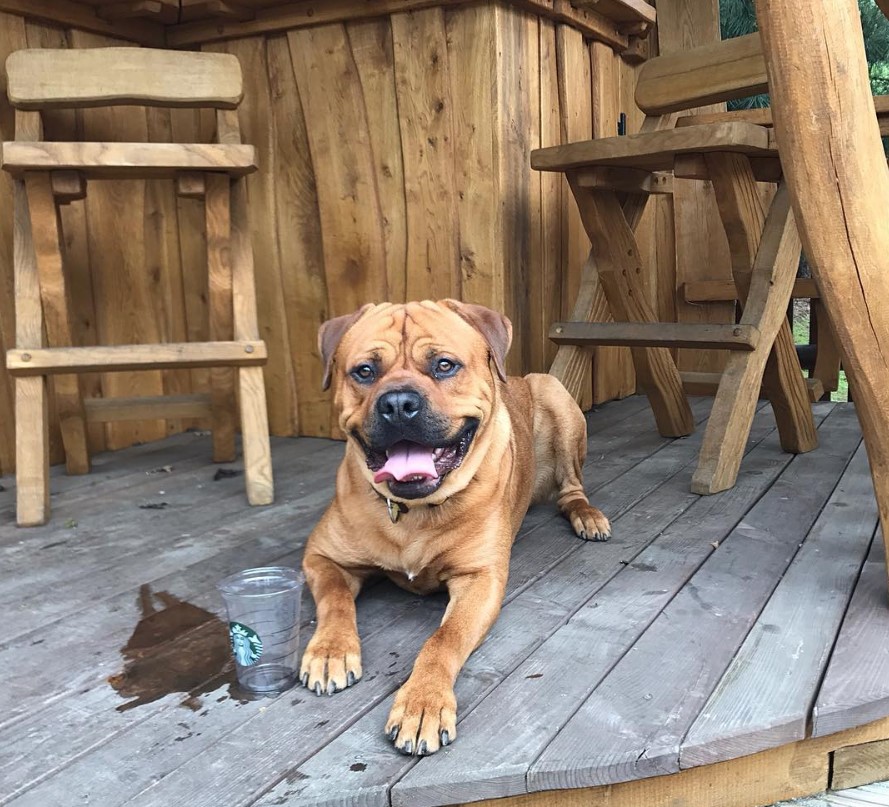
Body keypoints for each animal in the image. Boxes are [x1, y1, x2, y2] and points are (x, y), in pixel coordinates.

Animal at [302, 300, 608, 756]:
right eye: (365, 371)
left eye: (444, 365)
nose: (398, 403)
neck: (414, 511)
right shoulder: (322, 556)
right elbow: (335, 599)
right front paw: (330, 651)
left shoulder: (479, 578)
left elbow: (444, 638)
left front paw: (423, 702)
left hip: (555, 395)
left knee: (571, 487)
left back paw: (586, 515)